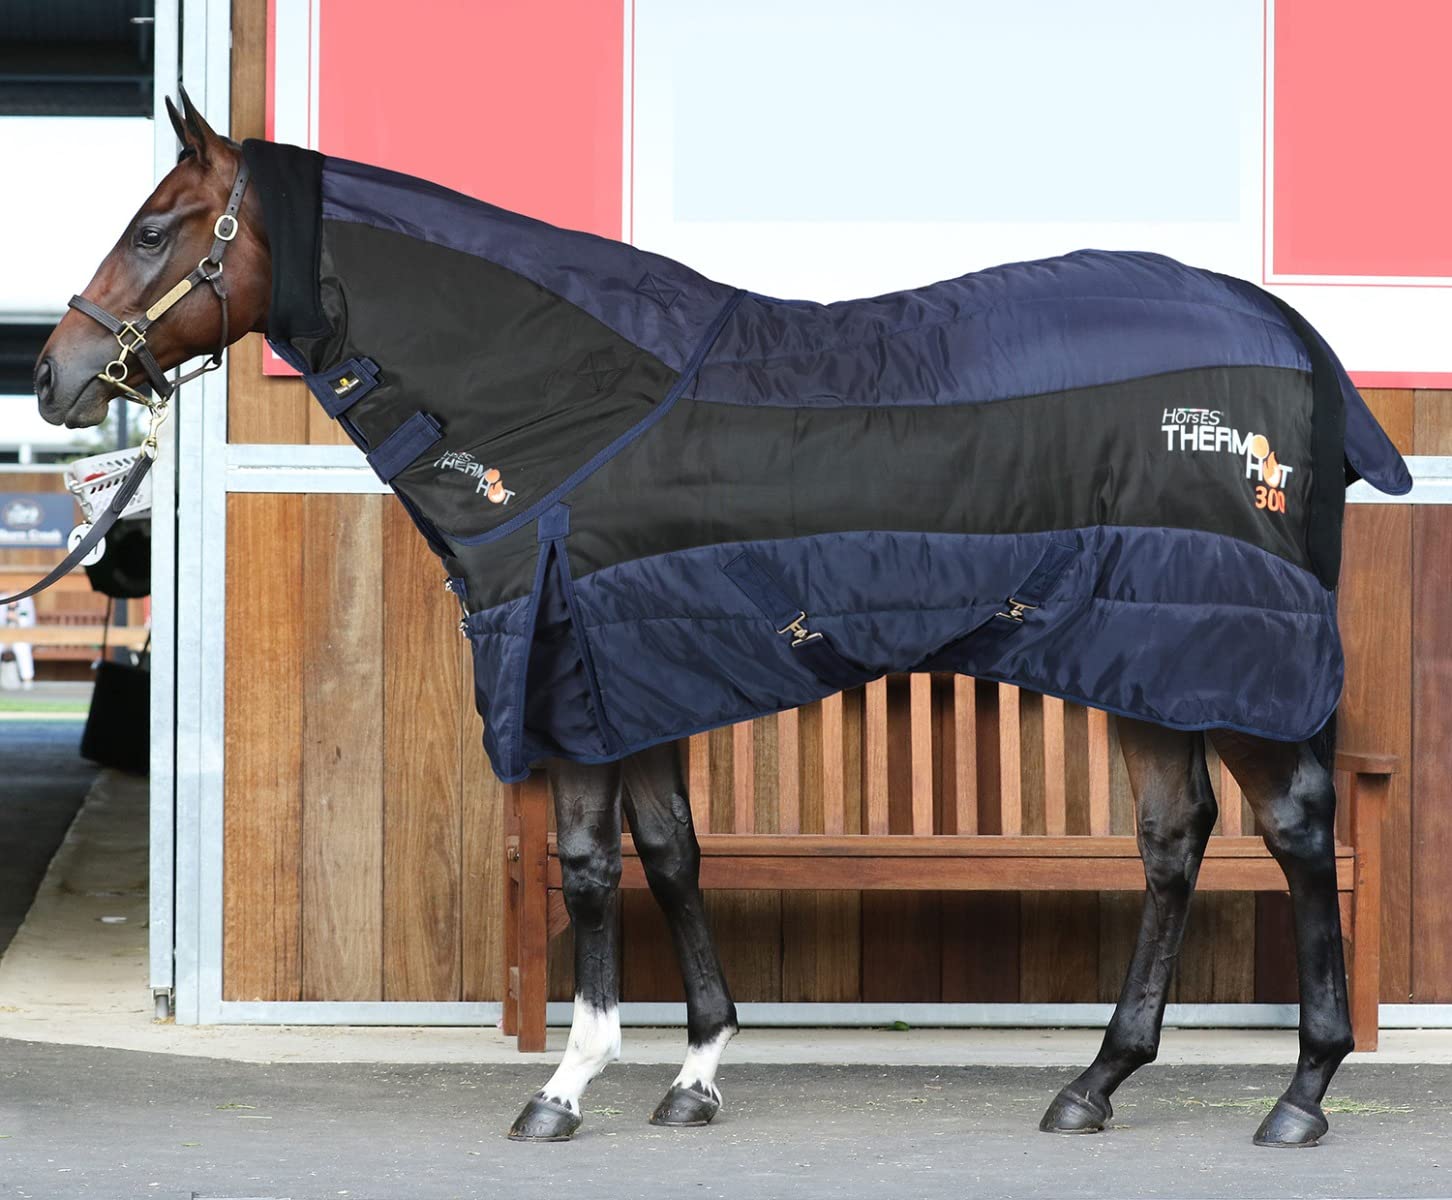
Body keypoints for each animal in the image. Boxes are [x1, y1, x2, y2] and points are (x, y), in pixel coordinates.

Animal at [34, 90, 1392, 1148]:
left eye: (153, 228)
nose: (55, 376)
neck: (571, 401)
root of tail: (1291, 336)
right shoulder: (638, 671)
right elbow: (673, 852)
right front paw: (695, 1072)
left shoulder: (575, 677)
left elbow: (592, 865)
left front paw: (568, 1084)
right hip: (1147, 655)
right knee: (1175, 838)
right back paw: (1096, 1083)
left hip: (1226, 652)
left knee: (1293, 825)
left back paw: (1304, 1093)